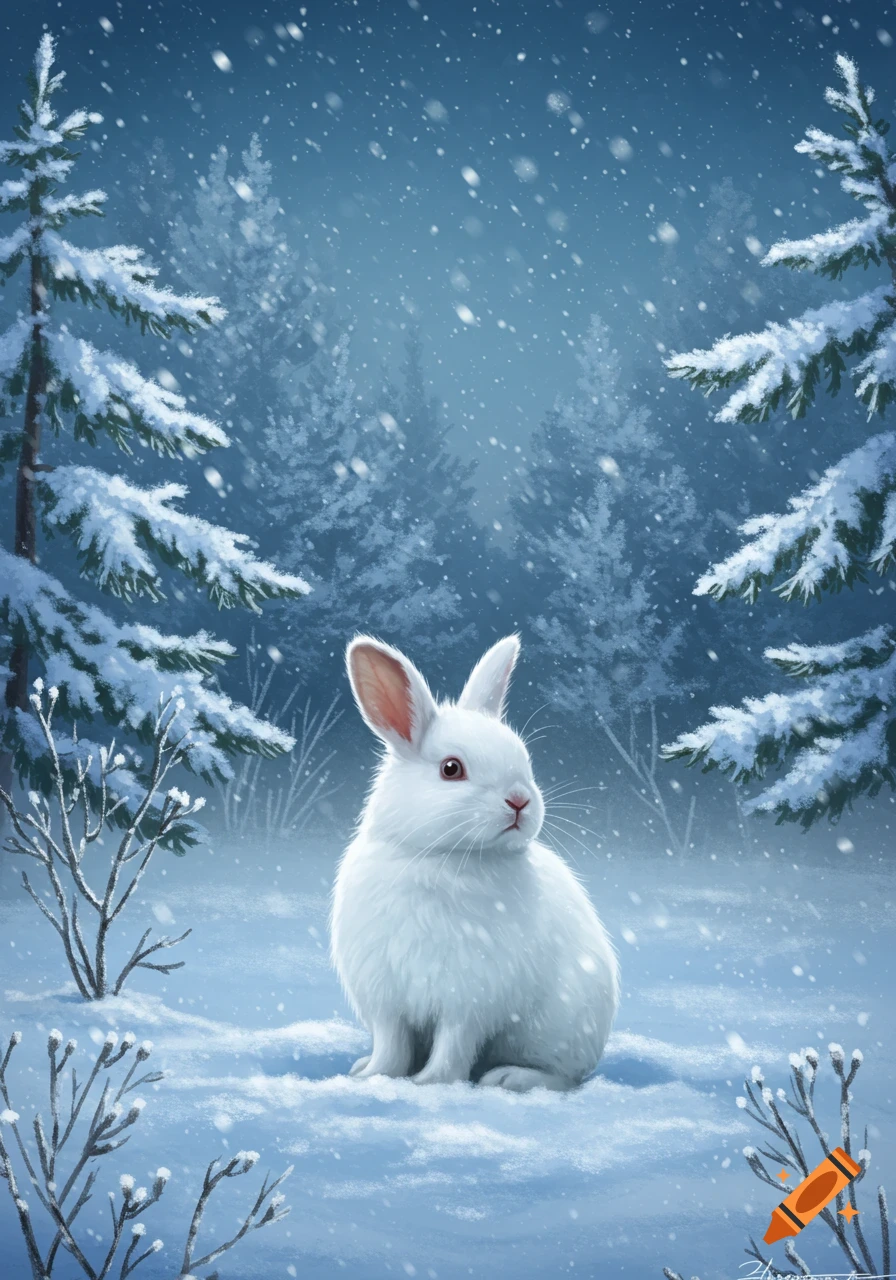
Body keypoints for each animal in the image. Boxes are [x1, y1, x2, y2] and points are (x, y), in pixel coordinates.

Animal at [330, 633, 619, 1093]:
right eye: (451, 769)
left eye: (524, 759)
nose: (520, 800)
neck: (441, 857)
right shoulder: (386, 998)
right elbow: (392, 1045)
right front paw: (373, 1075)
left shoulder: (468, 1000)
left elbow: (454, 1045)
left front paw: (431, 1082)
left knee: (564, 1078)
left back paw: (508, 1077)